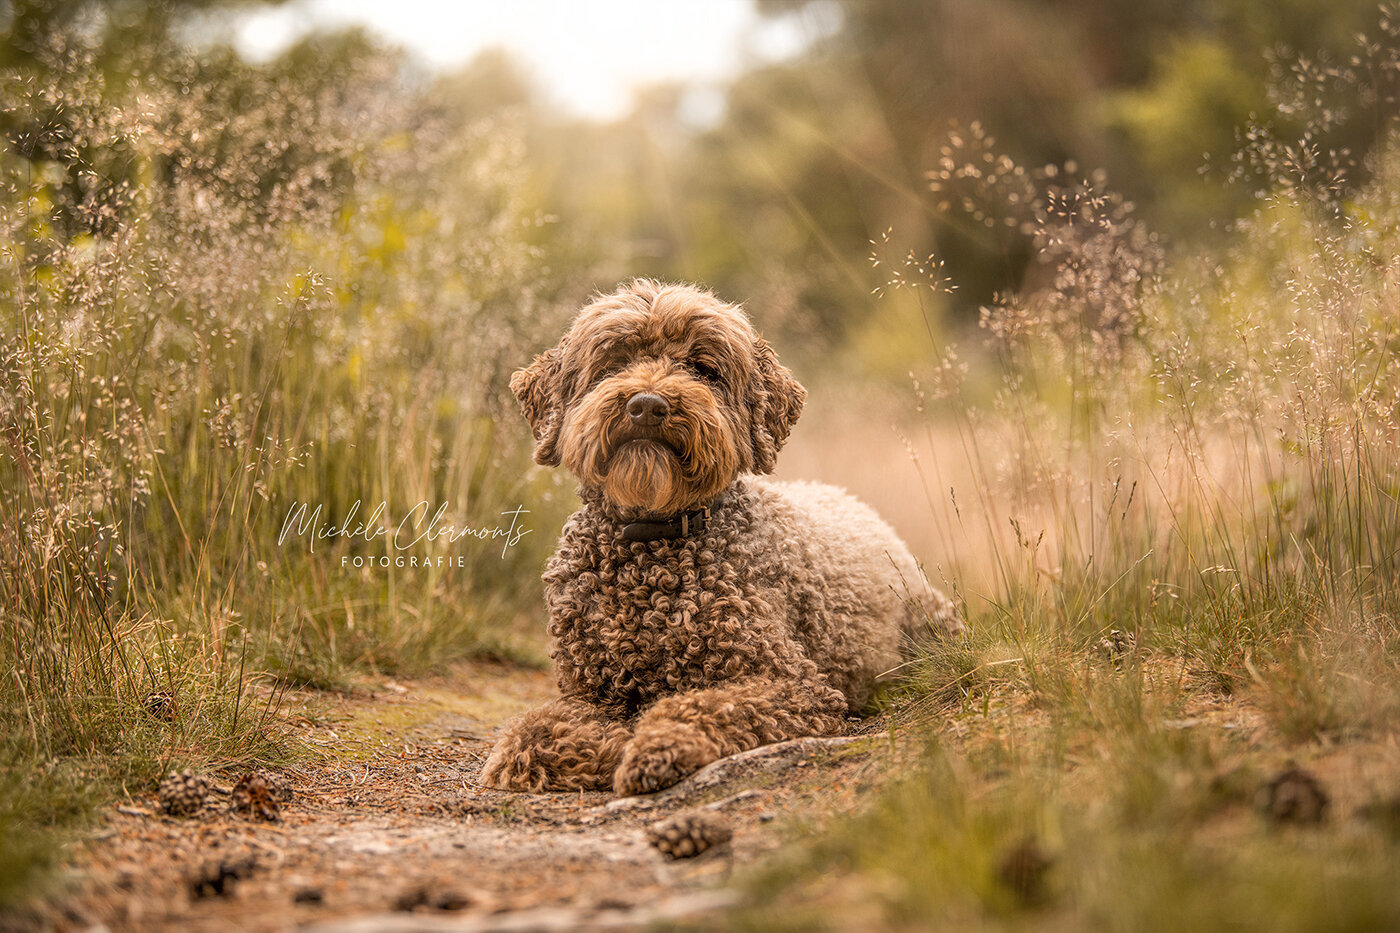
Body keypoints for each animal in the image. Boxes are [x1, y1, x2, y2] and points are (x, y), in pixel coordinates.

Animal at [481, 275, 963, 790]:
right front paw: (590, 744)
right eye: (614, 363)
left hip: (930, 622)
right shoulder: (587, 689)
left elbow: (708, 707)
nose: (647, 405)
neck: (653, 546)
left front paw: (654, 744)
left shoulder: (794, 685)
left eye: (703, 369)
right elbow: (534, 734)